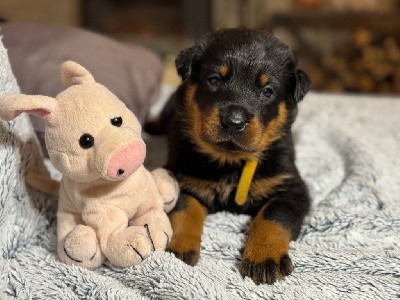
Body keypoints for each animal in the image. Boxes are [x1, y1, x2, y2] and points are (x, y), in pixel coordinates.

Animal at [149, 28, 310, 284]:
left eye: (268, 91)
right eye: (214, 80)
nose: (234, 121)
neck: (230, 161)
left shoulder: (291, 187)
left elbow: (275, 216)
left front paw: (265, 256)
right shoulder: (180, 177)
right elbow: (185, 209)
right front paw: (180, 247)